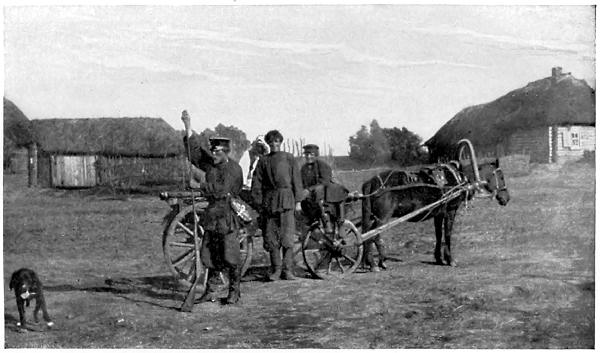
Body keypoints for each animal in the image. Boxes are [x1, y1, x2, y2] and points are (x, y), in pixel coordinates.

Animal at [360, 139, 510, 268]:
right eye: (501, 177)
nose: (506, 198)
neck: (458, 179)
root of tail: (371, 182)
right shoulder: (450, 210)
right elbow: (447, 234)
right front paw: (450, 260)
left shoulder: (438, 213)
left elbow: (438, 234)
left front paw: (439, 258)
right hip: (382, 217)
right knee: (373, 235)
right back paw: (378, 262)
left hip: (373, 216)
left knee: (366, 234)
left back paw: (368, 262)